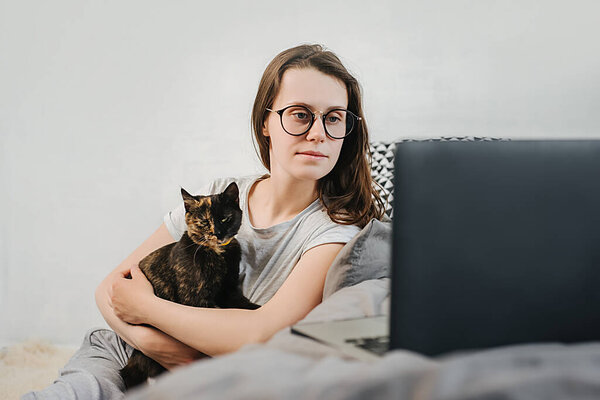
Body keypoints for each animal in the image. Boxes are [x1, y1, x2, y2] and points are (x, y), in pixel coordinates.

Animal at [119, 183, 258, 390]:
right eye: (204, 221)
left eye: (225, 218)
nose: (218, 233)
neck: (218, 254)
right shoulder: (195, 299)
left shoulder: (229, 290)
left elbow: (246, 306)